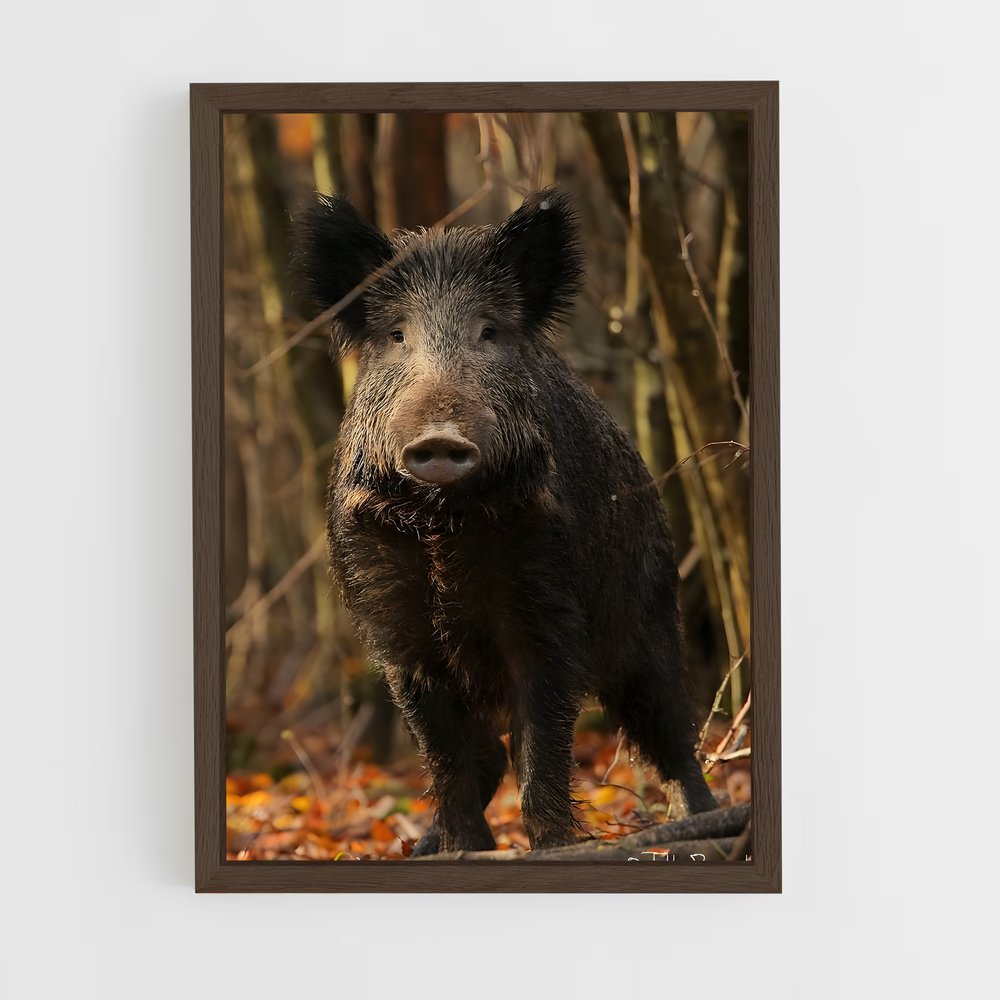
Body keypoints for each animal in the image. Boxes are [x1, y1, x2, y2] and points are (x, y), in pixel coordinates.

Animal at [294, 187, 717, 855]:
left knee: (670, 728)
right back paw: (424, 845)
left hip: (649, 609)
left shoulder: (547, 603)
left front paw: (555, 845)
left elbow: (542, 744)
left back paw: (699, 823)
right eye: (396, 335)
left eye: (488, 332)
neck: (445, 524)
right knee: (487, 752)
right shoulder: (396, 627)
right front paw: (464, 848)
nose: (440, 437)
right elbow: (446, 754)